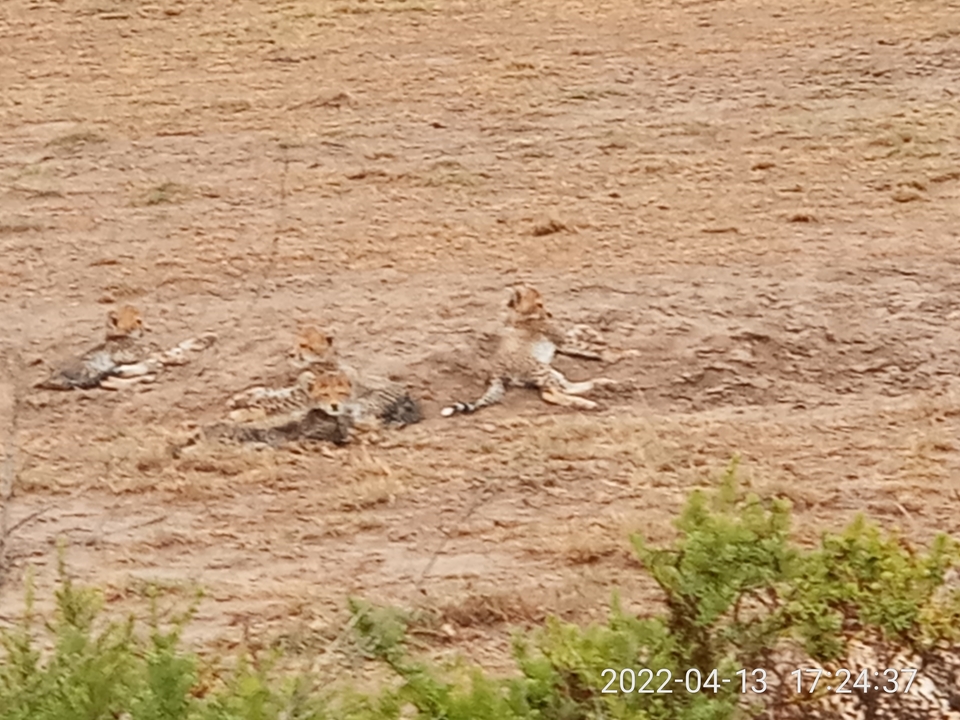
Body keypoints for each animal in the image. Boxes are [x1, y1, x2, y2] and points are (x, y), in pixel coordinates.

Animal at [35, 305, 216, 391]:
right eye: (138, 321)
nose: (147, 329)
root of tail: (49, 379)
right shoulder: (128, 354)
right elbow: (163, 352)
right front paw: (180, 356)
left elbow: (175, 347)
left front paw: (205, 339)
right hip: (91, 369)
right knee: (109, 381)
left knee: (113, 378)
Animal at [441, 286, 624, 417]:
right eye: (539, 303)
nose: (549, 314)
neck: (521, 316)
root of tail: (495, 373)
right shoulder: (564, 341)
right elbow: (593, 348)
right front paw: (622, 354)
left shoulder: (561, 340)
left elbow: (583, 335)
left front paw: (591, 332)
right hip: (540, 368)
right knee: (550, 394)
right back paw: (588, 402)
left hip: (550, 370)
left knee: (565, 387)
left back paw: (605, 384)